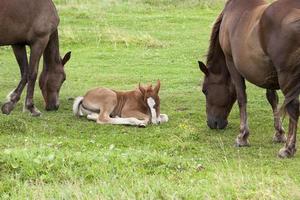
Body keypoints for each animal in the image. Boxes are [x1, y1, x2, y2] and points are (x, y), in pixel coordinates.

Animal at [199, 0, 300, 159]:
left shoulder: (232, 63)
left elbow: (241, 98)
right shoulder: (268, 71)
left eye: (205, 90)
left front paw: (243, 136)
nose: (212, 123)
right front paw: (279, 133)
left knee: (293, 108)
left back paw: (288, 149)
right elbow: (272, 98)